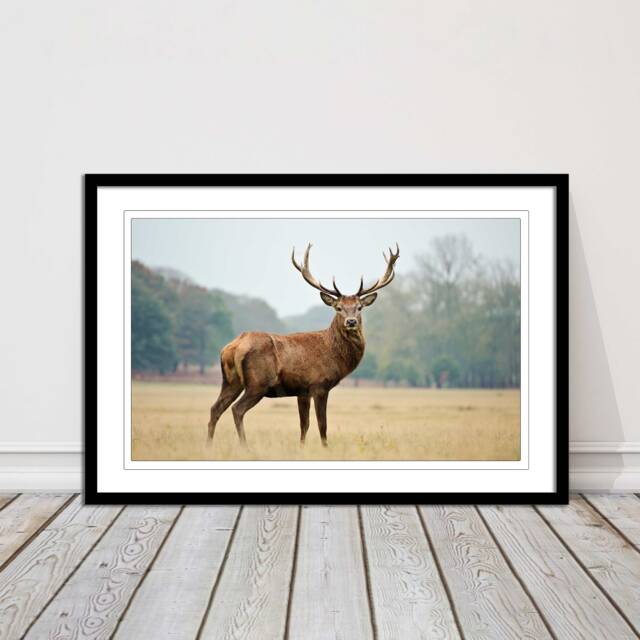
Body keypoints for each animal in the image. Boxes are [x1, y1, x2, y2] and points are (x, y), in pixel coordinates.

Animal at [207, 243, 400, 447]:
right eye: (338, 307)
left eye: (359, 307)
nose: (351, 321)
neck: (334, 354)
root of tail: (233, 347)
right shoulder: (319, 385)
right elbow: (322, 424)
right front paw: (325, 447)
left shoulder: (302, 391)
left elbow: (304, 425)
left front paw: (302, 447)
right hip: (257, 383)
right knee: (237, 409)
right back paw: (245, 446)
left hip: (230, 381)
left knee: (215, 408)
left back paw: (208, 445)